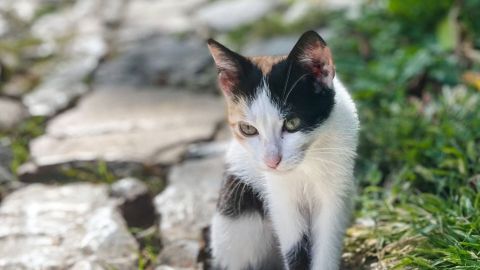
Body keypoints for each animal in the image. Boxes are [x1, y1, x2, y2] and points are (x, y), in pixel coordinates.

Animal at [208, 30, 358, 270]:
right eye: (248, 129)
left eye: (292, 123)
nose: (272, 161)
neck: (306, 165)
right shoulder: (280, 197)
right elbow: (294, 247)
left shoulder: (336, 191)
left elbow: (327, 241)